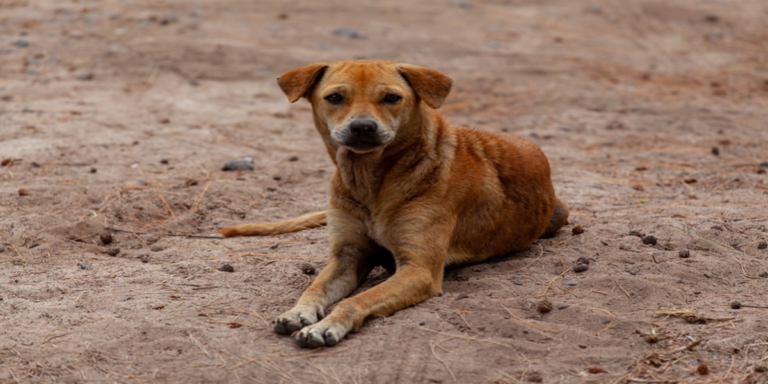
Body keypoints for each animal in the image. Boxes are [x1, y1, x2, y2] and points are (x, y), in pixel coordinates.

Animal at [219, 60, 568, 348]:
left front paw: (326, 326)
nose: (363, 127)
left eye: (391, 98)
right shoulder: (347, 256)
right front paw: (298, 312)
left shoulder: (418, 270)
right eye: (335, 97)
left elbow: (356, 300)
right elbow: (314, 287)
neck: (370, 183)